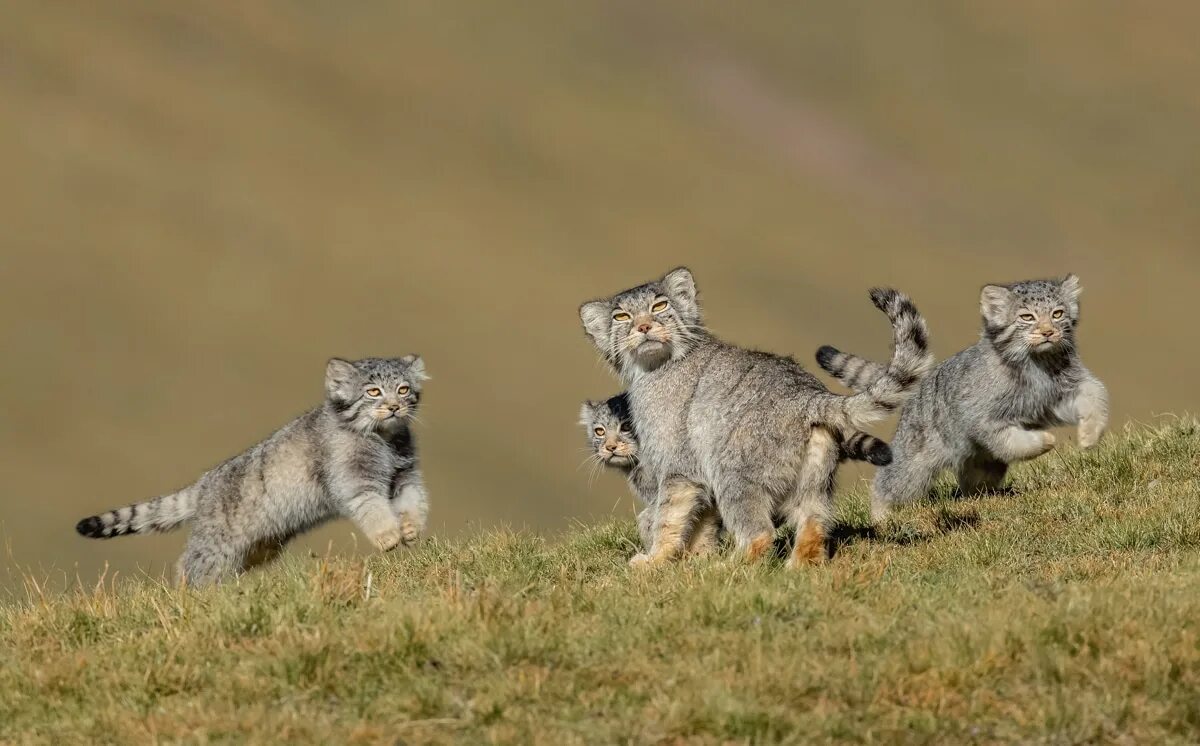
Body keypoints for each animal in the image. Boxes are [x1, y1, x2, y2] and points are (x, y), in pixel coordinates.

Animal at [576, 268, 931, 566]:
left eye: (660, 305)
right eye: (621, 316)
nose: (644, 327)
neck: (654, 368)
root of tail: (808, 395)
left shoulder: (679, 467)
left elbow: (667, 520)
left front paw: (654, 562)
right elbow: (699, 522)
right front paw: (693, 559)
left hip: (733, 475)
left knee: (760, 534)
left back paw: (726, 571)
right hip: (812, 484)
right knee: (813, 526)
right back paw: (796, 570)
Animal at [820, 274, 1108, 520]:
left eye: (1057, 314)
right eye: (1027, 317)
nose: (1048, 332)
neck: (1037, 365)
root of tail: (921, 383)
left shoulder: (1061, 394)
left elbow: (1096, 394)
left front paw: (1089, 435)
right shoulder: (984, 420)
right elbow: (1014, 441)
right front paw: (1044, 440)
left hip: (981, 464)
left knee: (973, 483)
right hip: (913, 463)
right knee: (887, 484)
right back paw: (881, 516)